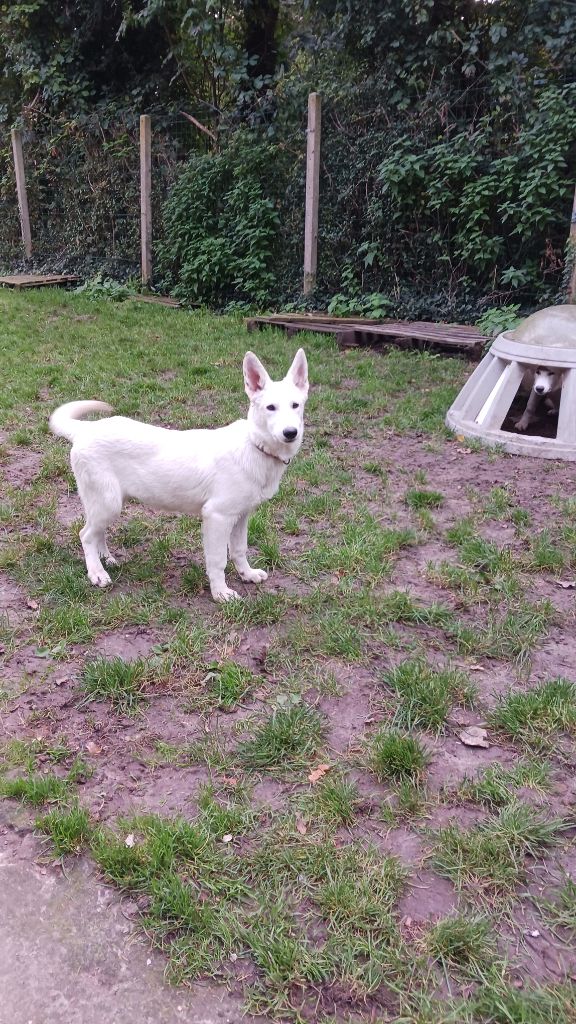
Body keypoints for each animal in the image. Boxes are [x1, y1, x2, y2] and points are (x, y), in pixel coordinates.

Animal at [51, 348, 307, 598]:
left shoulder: (241, 515)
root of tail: (87, 429)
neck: (255, 446)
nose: (290, 433)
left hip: (107, 503)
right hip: (108, 502)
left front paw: (247, 574)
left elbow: (239, 550)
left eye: (296, 405)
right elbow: (218, 561)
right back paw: (96, 573)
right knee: (85, 535)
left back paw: (106, 560)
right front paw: (220, 593)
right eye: (270, 408)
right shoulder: (217, 516)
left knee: (97, 533)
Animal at [446, 303, 576, 460]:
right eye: (537, 372)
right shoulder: (535, 388)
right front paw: (522, 423)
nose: (540, 388)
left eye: (551, 372)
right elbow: (529, 407)